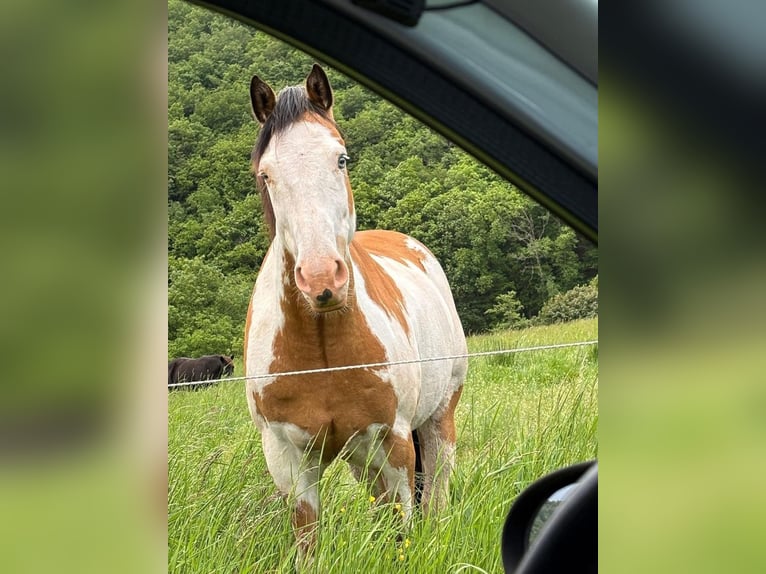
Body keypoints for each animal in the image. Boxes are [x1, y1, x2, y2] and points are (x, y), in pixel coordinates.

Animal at [243, 64, 467, 566]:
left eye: (341, 159)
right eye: (266, 175)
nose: (321, 278)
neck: (323, 350)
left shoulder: (394, 444)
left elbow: (402, 532)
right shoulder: (289, 460)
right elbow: (308, 543)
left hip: (437, 420)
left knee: (436, 493)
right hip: (358, 458)